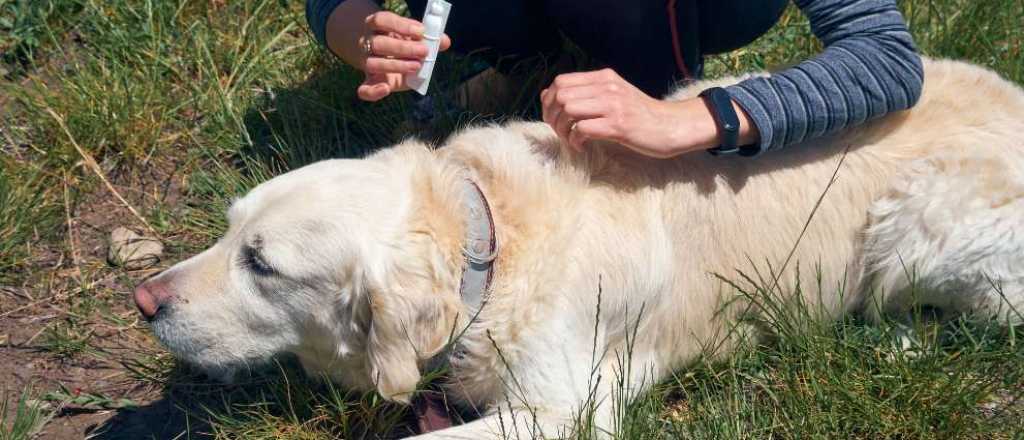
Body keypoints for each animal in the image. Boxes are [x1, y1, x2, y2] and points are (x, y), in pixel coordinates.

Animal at [136, 59, 1024, 440]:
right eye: (228, 230)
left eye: (262, 264)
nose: (145, 302)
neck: (488, 246)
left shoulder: (565, 410)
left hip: (913, 232)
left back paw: (898, 340)